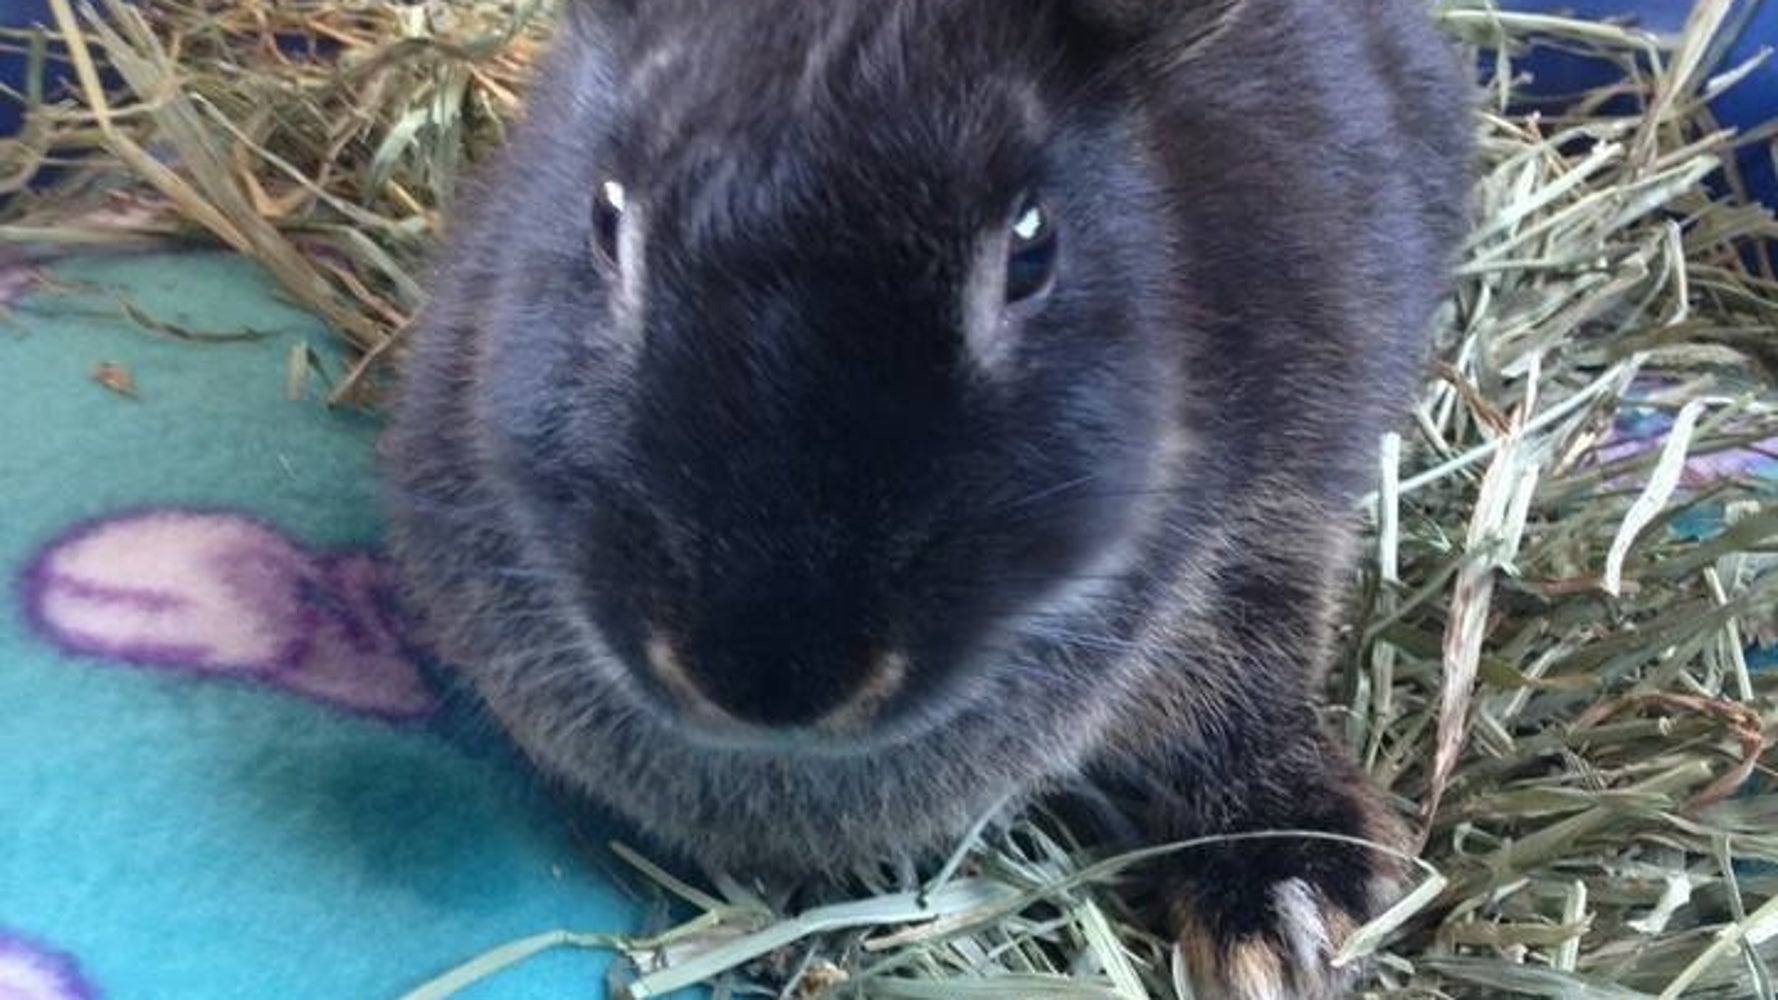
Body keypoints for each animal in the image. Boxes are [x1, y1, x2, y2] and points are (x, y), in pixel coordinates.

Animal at [382, 0, 1473, 996]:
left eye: (1030, 249)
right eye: (606, 219)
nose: (767, 673)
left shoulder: (1275, 516)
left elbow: (1245, 682)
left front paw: (1285, 903)